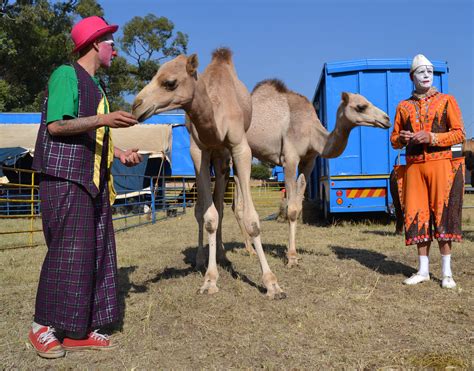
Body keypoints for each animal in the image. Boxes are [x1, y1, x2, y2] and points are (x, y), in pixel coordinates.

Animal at [131, 48, 286, 300]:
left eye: (169, 82)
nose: (136, 106)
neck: (216, 122)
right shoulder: (199, 151)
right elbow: (209, 217)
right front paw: (210, 280)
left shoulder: (239, 148)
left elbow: (250, 218)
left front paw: (272, 284)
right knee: (203, 209)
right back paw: (202, 259)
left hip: (223, 159)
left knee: (221, 205)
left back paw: (223, 254)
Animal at [235, 80, 390, 268]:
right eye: (361, 106)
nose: (387, 119)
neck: (311, 132)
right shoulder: (290, 159)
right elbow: (291, 209)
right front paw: (291, 258)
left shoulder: (308, 161)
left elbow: (298, 206)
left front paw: (294, 254)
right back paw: (247, 250)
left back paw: (249, 249)